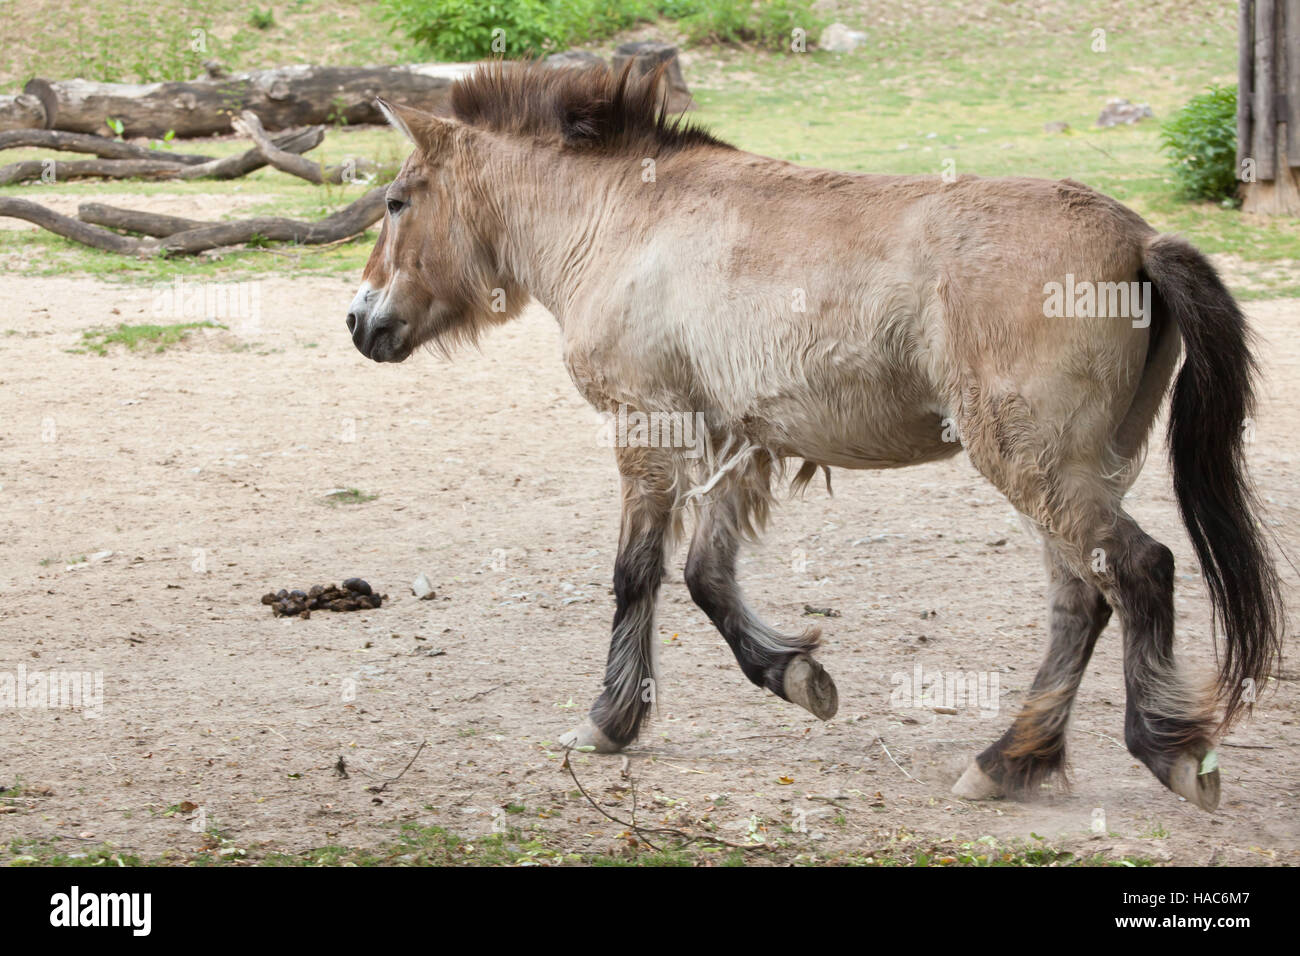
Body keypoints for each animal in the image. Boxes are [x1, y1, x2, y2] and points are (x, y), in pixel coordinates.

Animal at [345, 61, 1285, 811]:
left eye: (395, 202)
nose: (359, 321)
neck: (626, 218)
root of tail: (1140, 238)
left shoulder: (647, 426)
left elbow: (635, 574)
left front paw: (609, 723)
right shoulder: (737, 440)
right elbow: (706, 577)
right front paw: (797, 676)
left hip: (1037, 467)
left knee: (1139, 570)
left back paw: (1167, 753)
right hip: (1075, 471)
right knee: (1080, 604)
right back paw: (1008, 762)